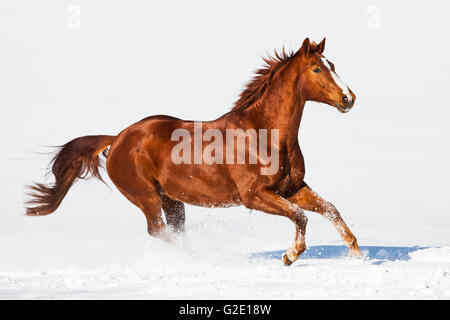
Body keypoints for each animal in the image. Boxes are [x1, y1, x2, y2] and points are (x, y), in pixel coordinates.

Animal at [25, 38, 362, 264]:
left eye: (332, 66)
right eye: (317, 69)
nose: (349, 98)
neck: (264, 134)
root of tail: (118, 137)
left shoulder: (291, 188)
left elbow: (330, 209)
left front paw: (357, 254)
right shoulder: (254, 196)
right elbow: (300, 217)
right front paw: (290, 255)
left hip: (171, 199)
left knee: (172, 230)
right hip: (146, 196)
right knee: (159, 231)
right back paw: (204, 258)